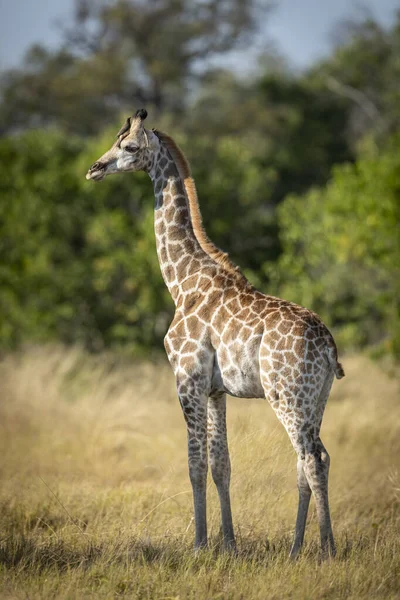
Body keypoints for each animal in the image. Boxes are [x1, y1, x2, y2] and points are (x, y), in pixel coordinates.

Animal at [86, 110, 344, 560]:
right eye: (114, 141)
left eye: (129, 146)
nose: (95, 168)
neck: (182, 281)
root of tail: (328, 347)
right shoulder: (216, 390)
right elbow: (222, 464)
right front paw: (230, 544)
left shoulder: (186, 379)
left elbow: (195, 464)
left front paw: (199, 544)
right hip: (316, 398)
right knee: (313, 459)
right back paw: (296, 547)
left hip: (286, 395)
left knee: (311, 459)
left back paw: (326, 548)